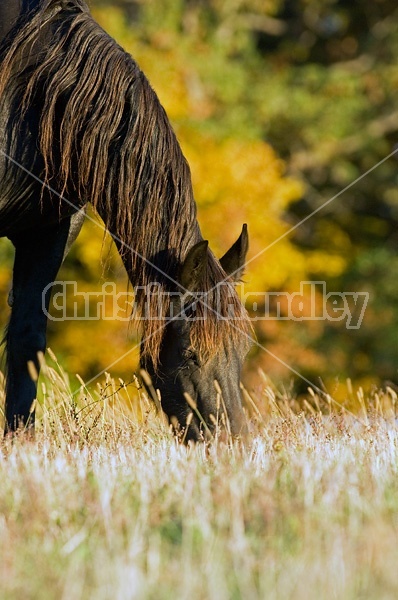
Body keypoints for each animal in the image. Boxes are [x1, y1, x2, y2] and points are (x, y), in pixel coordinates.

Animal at [0, 0, 252, 440]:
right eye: (191, 353)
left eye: (242, 349)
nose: (233, 443)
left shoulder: (48, 234)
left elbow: (26, 339)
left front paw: (21, 440)